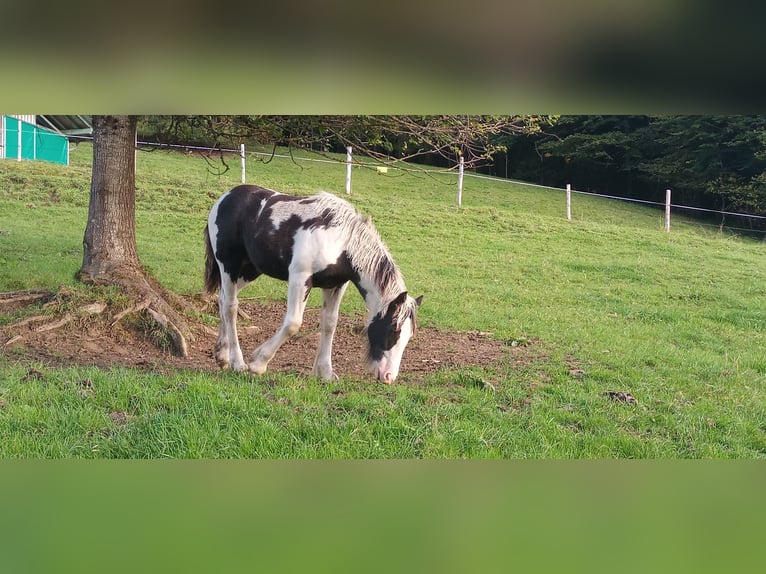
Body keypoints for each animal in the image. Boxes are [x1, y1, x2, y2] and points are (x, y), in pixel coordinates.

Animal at [204, 184, 424, 384]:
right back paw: (237, 362)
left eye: (408, 336)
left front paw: (326, 373)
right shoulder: (300, 278)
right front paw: (258, 363)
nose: (388, 377)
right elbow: (293, 323)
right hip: (229, 265)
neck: (341, 241)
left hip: (248, 271)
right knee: (231, 306)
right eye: (393, 330)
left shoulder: (335, 285)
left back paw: (222, 355)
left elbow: (329, 324)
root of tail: (226, 197)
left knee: (222, 300)